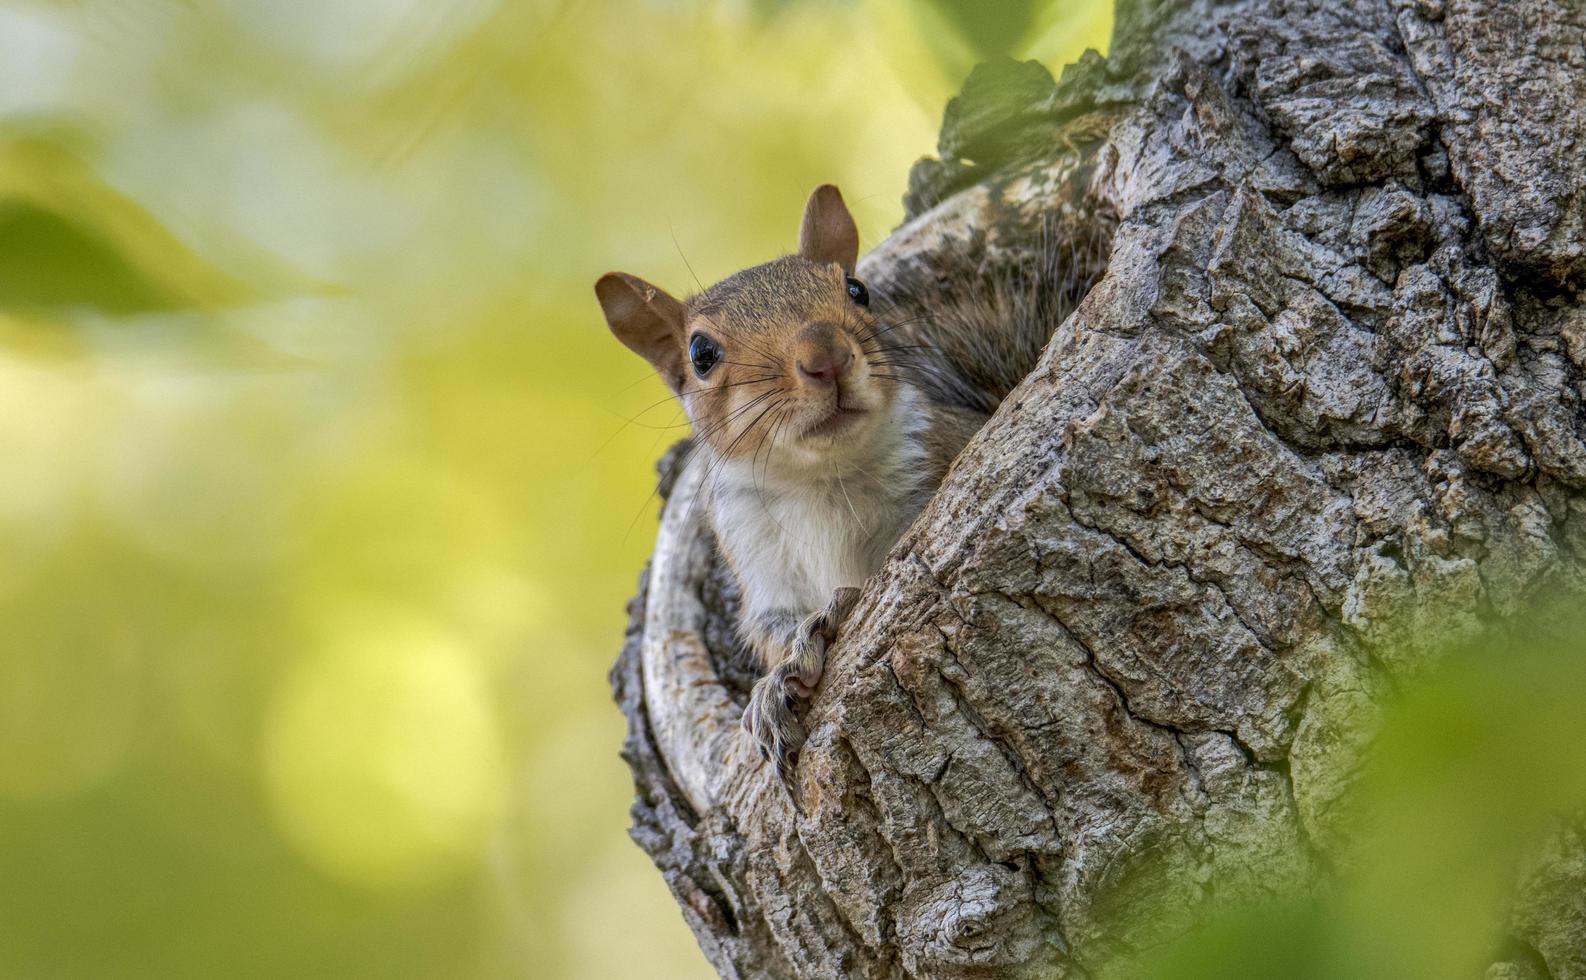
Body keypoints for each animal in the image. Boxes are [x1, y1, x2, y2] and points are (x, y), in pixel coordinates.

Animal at [596, 183, 1091, 786]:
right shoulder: (757, 558)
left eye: (858, 290)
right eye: (701, 354)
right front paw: (777, 684)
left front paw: (832, 615)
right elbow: (772, 629)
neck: (822, 478)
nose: (825, 356)